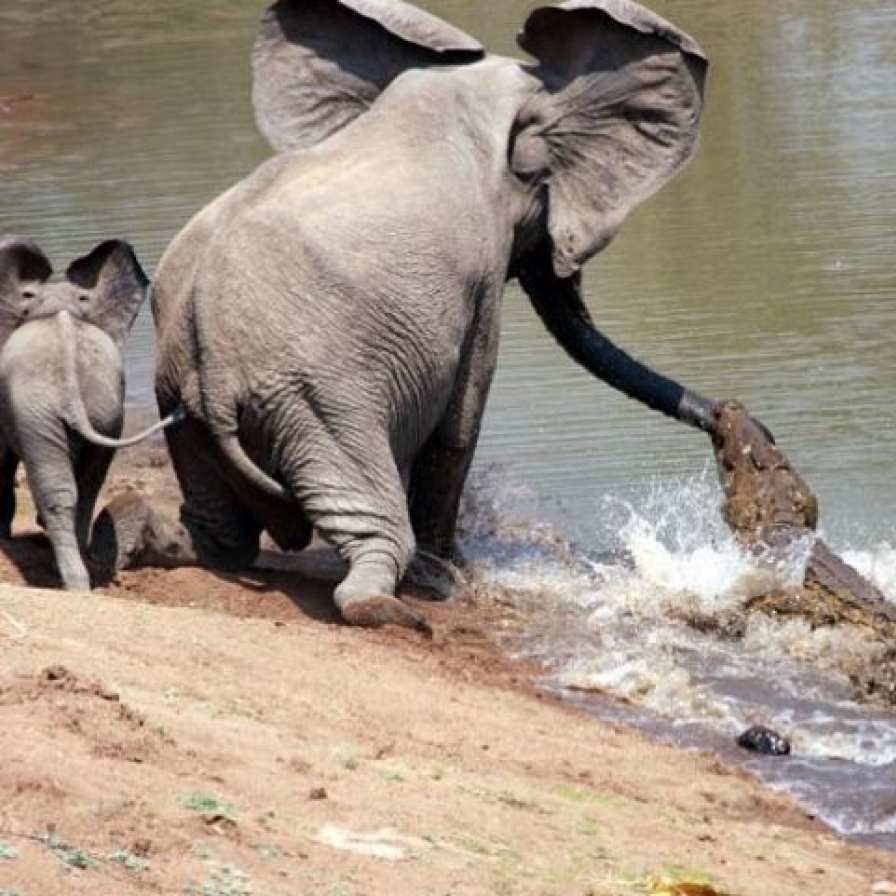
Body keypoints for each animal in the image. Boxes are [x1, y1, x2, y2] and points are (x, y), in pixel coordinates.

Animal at [0, 236, 174, 596]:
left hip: (37, 413)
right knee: (89, 482)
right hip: (103, 411)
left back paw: (73, 582)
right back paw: (82, 567)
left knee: (59, 491)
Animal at [105, 0, 720, 632]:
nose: (728, 421)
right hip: (317, 401)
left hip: (180, 398)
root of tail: (214, 362)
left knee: (221, 536)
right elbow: (460, 424)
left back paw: (136, 533)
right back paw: (391, 606)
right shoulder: (480, 272)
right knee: (374, 529)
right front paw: (454, 575)